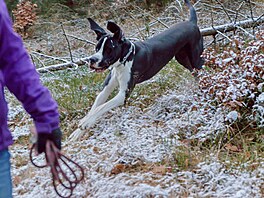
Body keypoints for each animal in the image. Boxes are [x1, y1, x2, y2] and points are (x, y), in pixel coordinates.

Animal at [68, 0, 204, 140]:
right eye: (97, 48)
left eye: (109, 49)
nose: (92, 60)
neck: (124, 60)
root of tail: (192, 22)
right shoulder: (106, 89)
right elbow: (95, 107)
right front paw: (77, 132)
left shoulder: (123, 94)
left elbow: (101, 108)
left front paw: (85, 122)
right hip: (182, 58)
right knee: (194, 72)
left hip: (195, 58)